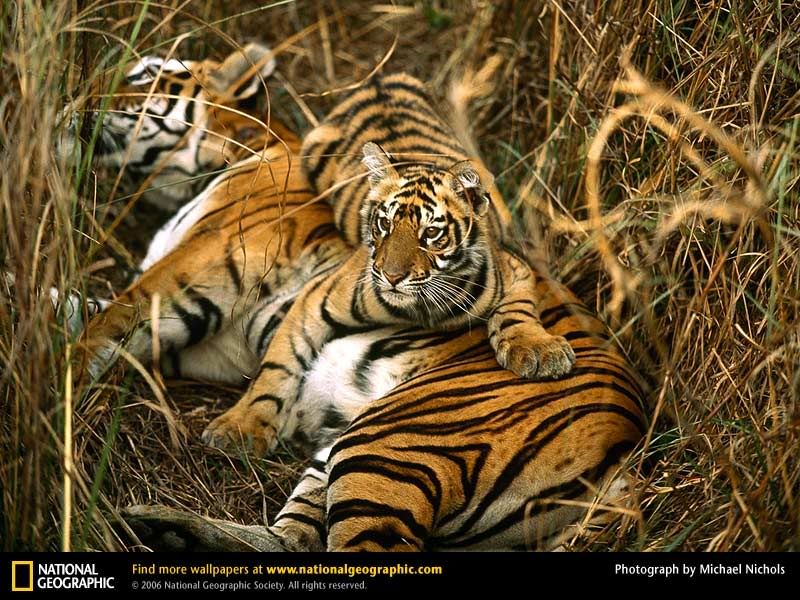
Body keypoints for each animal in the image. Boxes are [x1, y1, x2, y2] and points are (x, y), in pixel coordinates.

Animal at [68, 45, 645, 551]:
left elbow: (106, 322)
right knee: (292, 541)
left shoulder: (189, 276)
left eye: (145, 73)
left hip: (390, 442)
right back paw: (167, 532)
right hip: (342, 454)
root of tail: (630, 443)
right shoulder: (215, 346)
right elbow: (80, 306)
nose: (75, 98)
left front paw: (58, 380)